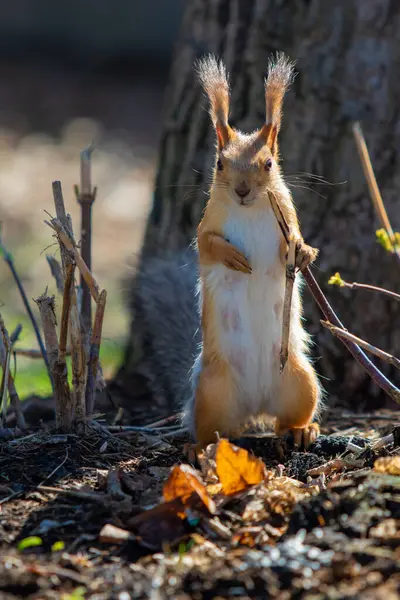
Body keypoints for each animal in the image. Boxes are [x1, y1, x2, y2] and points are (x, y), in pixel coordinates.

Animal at [184, 52, 322, 450]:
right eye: (220, 163)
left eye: (269, 164)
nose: (242, 190)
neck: (249, 209)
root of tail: (256, 404)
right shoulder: (207, 224)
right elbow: (206, 245)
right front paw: (232, 257)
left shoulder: (287, 214)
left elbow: (295, 241)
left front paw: (304, 252)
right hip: (212, 392)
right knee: (214, 430)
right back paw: (201, 448)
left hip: (300, 381)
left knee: (287, 419)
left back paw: (302, 431)